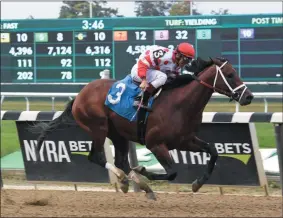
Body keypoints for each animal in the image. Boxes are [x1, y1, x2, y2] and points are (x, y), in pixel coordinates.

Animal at [31, 57, 255, 197]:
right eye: (230, 74)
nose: (248, 97)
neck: (180, 104)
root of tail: (79, 95)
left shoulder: (186, 140)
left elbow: (213, 152)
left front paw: (198, 183)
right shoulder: (155, 144)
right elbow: (172, 172)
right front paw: (143, 170)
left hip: (118, 135)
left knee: (120, 161)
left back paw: (133, 183)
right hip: (97, 128)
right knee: (97, 157)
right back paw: (126, 179)